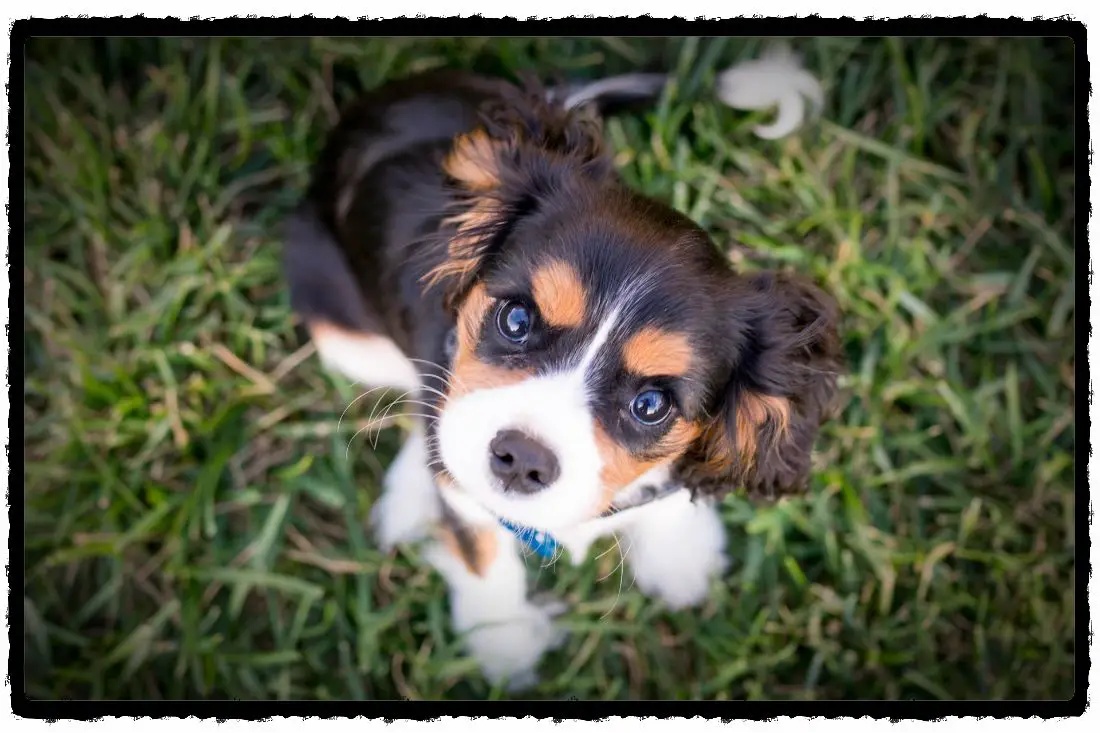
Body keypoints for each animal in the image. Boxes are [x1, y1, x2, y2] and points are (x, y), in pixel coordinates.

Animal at [283, 65, 840, 686]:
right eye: (517, 320)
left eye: (652, 405)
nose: (521, 459)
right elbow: (480, 548)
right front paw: (502, 644)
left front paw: (679, 555)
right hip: (340, 324)